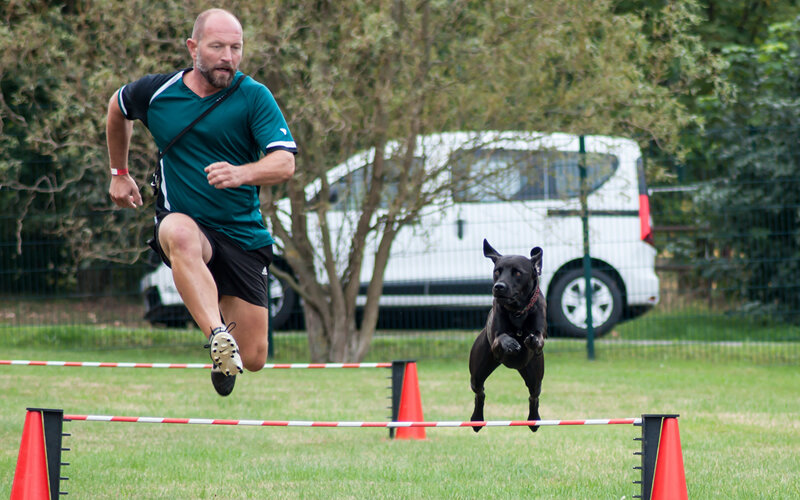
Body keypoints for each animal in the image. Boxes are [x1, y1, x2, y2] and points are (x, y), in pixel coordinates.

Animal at [466, 240, 548, 432]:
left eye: (517, 272)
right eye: (497, 271)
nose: (499, 287)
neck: (517, 311)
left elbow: (538, 339)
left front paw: (531, 339)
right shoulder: (495, 342)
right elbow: (500, 338)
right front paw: (511, 342)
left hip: (534, 375)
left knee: (534, 396)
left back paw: (534, 421)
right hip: (478, 372)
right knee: (480, 393)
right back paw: (477, 420)